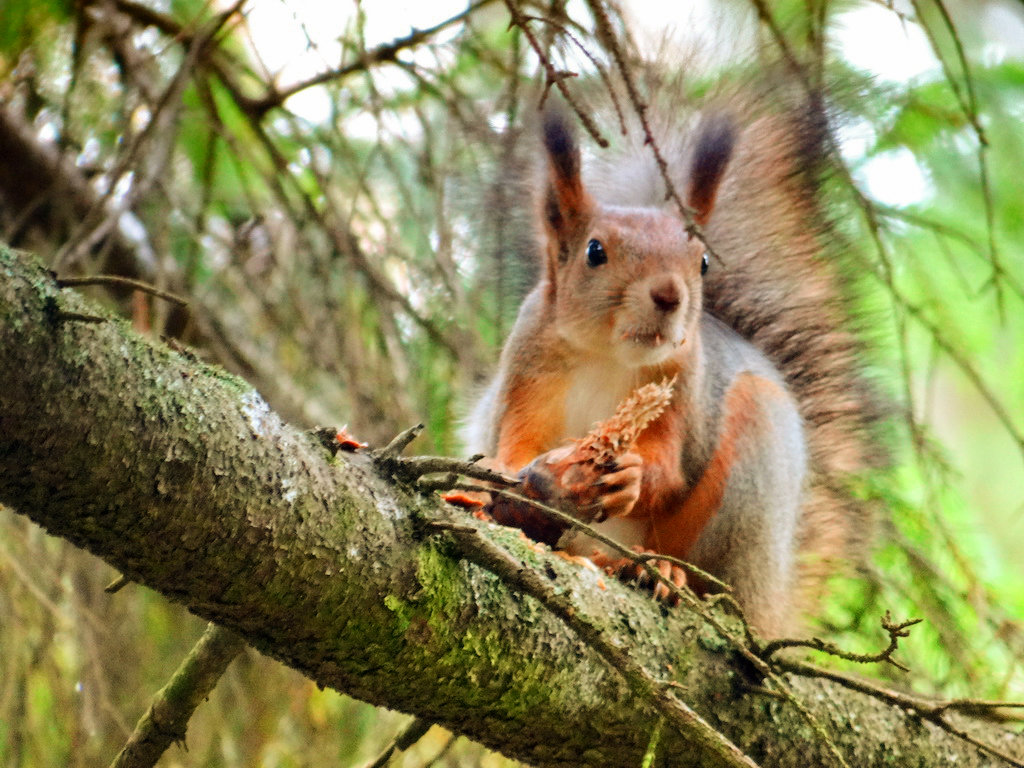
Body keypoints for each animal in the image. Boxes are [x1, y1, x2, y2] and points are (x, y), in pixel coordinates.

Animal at [464, 81, 880, 638]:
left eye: (702, 262)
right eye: (595, 251)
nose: (669, 295)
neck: (609, 356)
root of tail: (769, 605)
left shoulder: (682, 383)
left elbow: (671, 468)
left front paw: (634, 477)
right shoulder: (528, 364)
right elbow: (516, 441)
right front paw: (518, 472)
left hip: (741, 493)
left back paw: (656, 570)